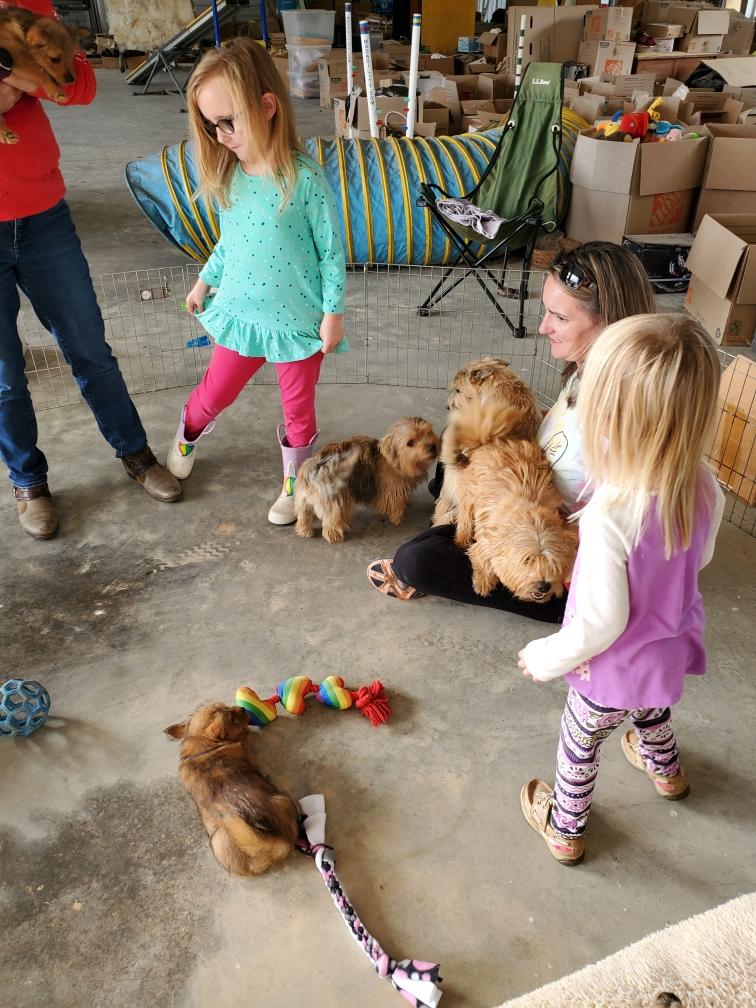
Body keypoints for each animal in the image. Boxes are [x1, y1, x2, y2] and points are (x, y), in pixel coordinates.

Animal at [0, 7, 84, 144]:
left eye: (71, 56)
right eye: (55, 59)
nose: (71, 80)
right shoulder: (16, 55)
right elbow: (39, 71)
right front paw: (56, 91)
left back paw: (7, 134)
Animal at [164, 703, 299, 876]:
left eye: (222, 705)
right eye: (232, 720)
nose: (242, 708)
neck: (204, 743)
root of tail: (262, 846)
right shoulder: (246, 752)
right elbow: (245, 740)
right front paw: (246, 732)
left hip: (218, 840)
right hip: (283, 799)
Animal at [295, 417, 441, 543]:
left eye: (428, 432)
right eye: (410, 443)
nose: (433, 447)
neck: (395, 460)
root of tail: (315, 466)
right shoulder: (392, 490)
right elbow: (394, 504)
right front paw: (398, 518)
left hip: (303, 502)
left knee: (303, 517)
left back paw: (304, 531)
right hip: (335, 502)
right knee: (331, 523)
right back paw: (335, 536)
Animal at [443, 401, 578, 603]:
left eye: (553, 563)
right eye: (527, 560)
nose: (544, 586)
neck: (532, 517)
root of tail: (489, 442)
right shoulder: (488, 539)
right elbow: (481, 556)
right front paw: (483, 581)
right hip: (469, 496)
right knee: (465, 520)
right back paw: (461, 539)